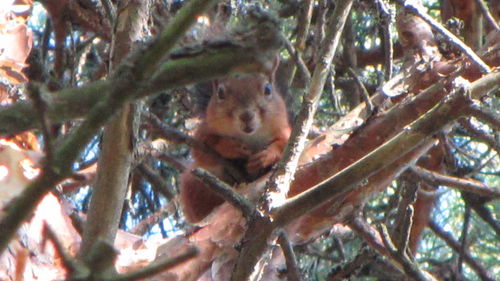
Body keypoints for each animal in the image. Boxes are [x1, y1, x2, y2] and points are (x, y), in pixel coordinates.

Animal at [180, 63, 292, 221]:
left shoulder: (284, 130)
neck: (249, 136)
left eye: (268, 89)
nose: (246, 115)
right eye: (220, 93)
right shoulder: (203, 133)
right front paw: (232, 147)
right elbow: (203, 152)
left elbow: (283, 144)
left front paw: (266, 155)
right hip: (194, 183)